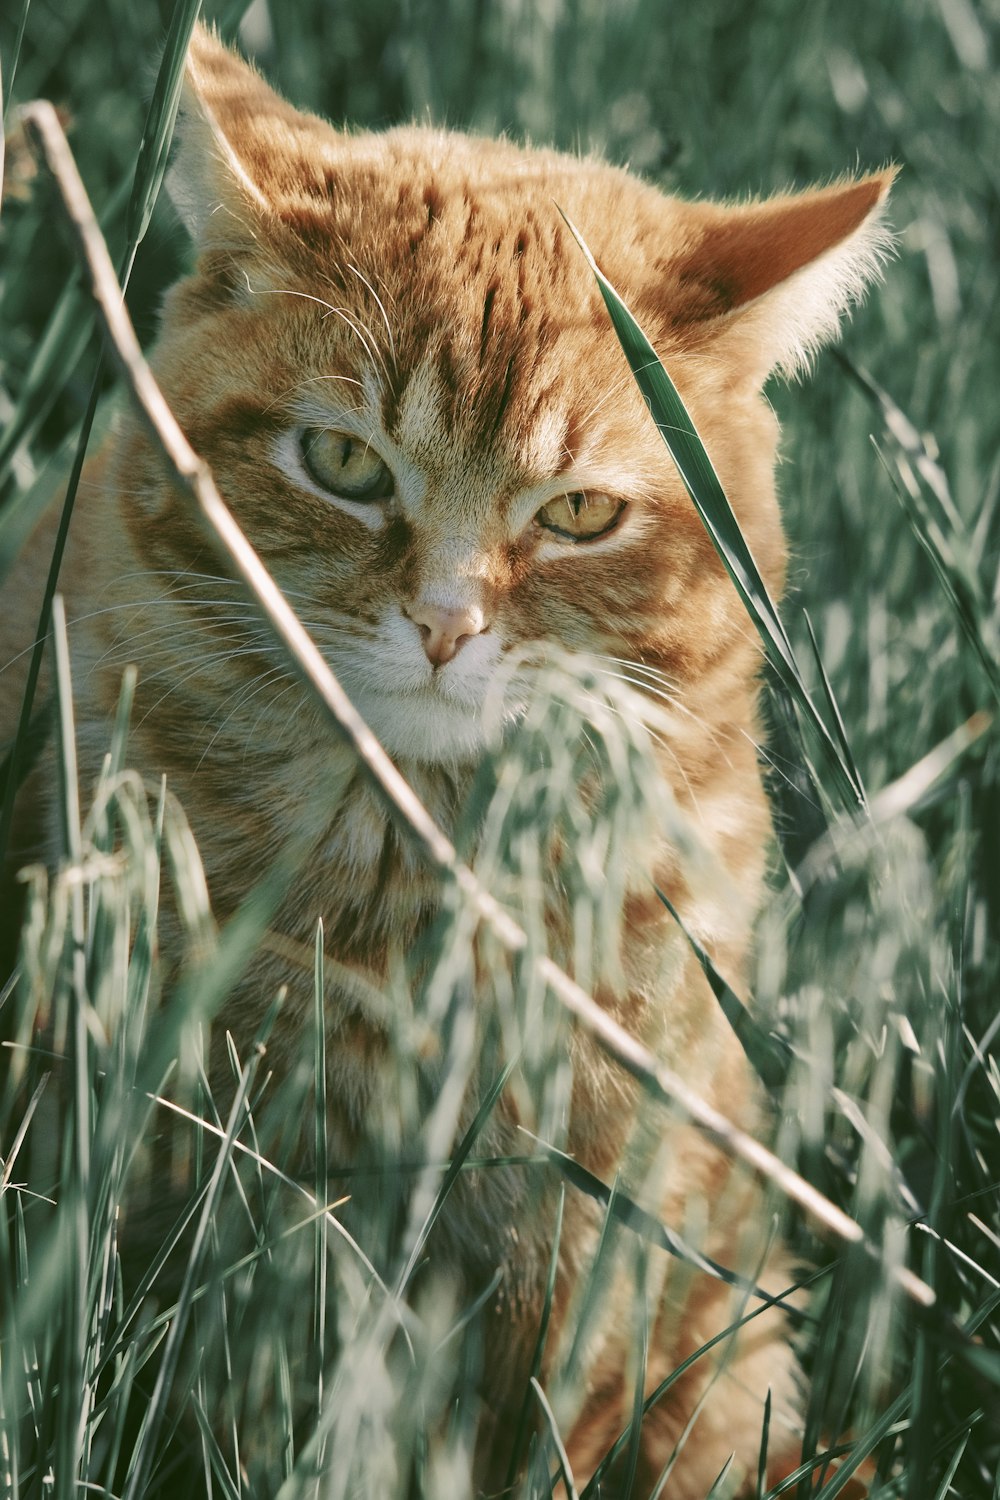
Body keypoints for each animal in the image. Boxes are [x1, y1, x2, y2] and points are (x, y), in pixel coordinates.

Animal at [0, 26, 893, 1500]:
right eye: (344, 461)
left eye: (578, 513)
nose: (444, 623)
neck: (418, 872)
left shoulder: (591, 1211)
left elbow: (548, 1422)